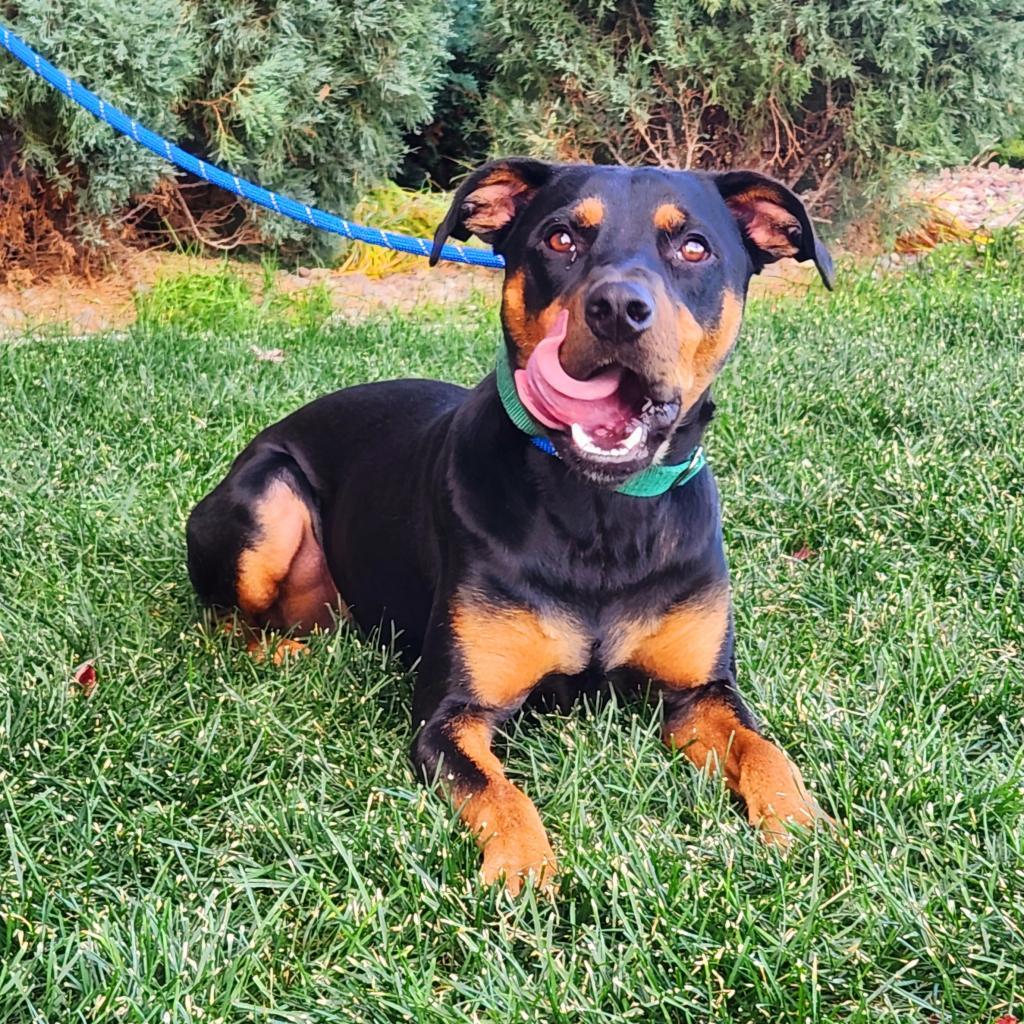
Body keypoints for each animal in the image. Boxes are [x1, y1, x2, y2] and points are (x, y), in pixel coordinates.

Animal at [188, 155, 835, 892]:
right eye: (560, 238)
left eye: (694, 247)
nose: (618, 309)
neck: (602, 515)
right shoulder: (450, 715)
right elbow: (500, 791)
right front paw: (524, 871)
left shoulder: (700, 692)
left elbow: (763, 746)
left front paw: (803, 825)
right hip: (267, 503)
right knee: (223, 621)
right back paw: (283, 650)